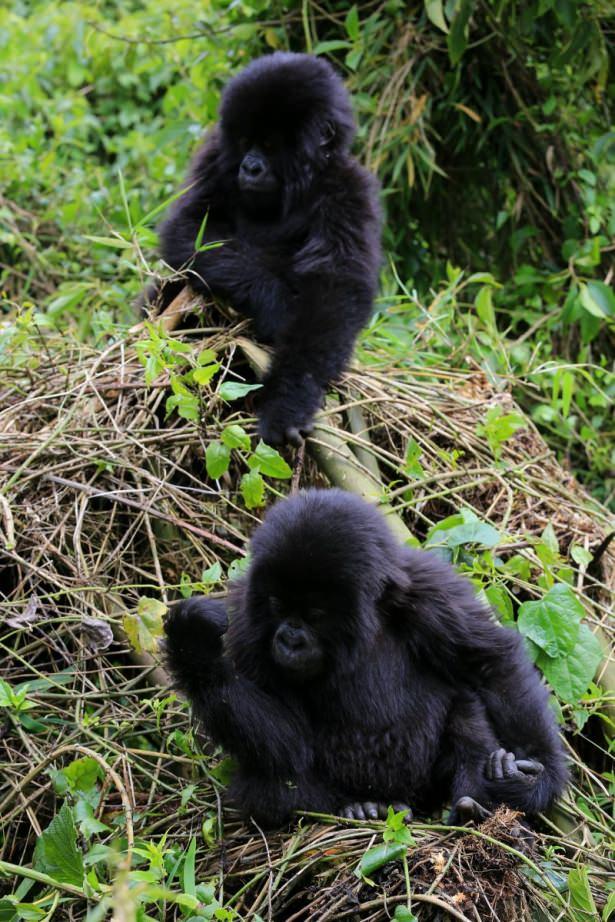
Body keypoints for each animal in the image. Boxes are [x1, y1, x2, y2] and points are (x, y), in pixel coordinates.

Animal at [147, 52, 382, 448]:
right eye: (245, 141)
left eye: (270, 145)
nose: (250, 167)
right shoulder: (215, 156)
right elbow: (188, 231)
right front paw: (276, 306)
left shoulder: (349, 190)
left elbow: (336, 289)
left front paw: (289, 398)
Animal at [164, 488, 568, 828]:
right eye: (277, 604)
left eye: (315, 614)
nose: (289, 640)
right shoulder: (248, 624)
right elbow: (288, 742)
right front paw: (195, 650)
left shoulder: (433, 590)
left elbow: (489, 663)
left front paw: (540, 778)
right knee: (275, 781)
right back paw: (359, 806)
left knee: (466, 708)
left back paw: (471, 801)